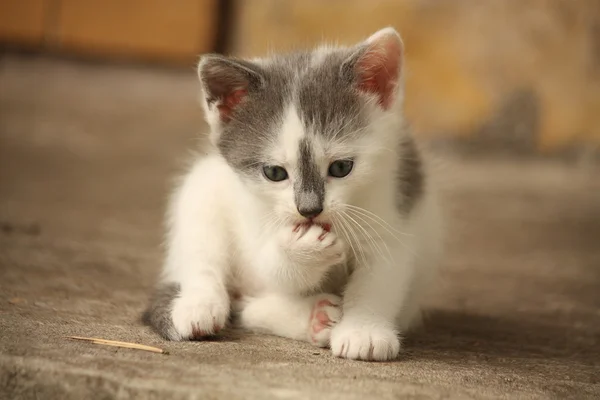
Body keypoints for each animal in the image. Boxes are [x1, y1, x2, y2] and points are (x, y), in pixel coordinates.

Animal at [143, 26, 442, 360]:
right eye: (274, 173)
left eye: (341, 168)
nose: (309, 209)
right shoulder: (251, 215)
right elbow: (271, 266)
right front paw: (302, 250)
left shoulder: (394, 211)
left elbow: (379, 279)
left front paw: (364, 330)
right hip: (201, 191)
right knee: (207, 265)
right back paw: (200, 305)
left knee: (246, 308)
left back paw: (318, 318)